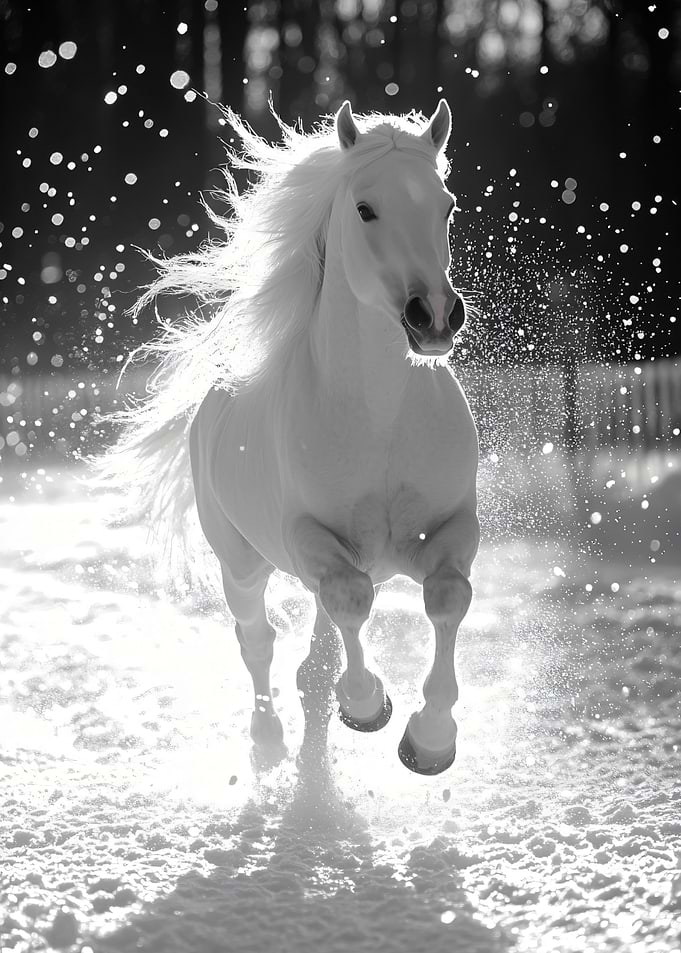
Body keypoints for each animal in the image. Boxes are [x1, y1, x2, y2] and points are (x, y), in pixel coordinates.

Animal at [100, 100, 479, 776]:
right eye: (365, 208)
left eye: (447, 206)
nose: (433, 316)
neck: (380, 422)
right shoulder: (306, 540)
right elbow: (351, 601)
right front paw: (367, 706)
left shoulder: (454, 528)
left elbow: (447, 597)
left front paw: (431, 739)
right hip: (242, 564)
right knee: (258, 641)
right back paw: (269, 743)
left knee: (315, 648)